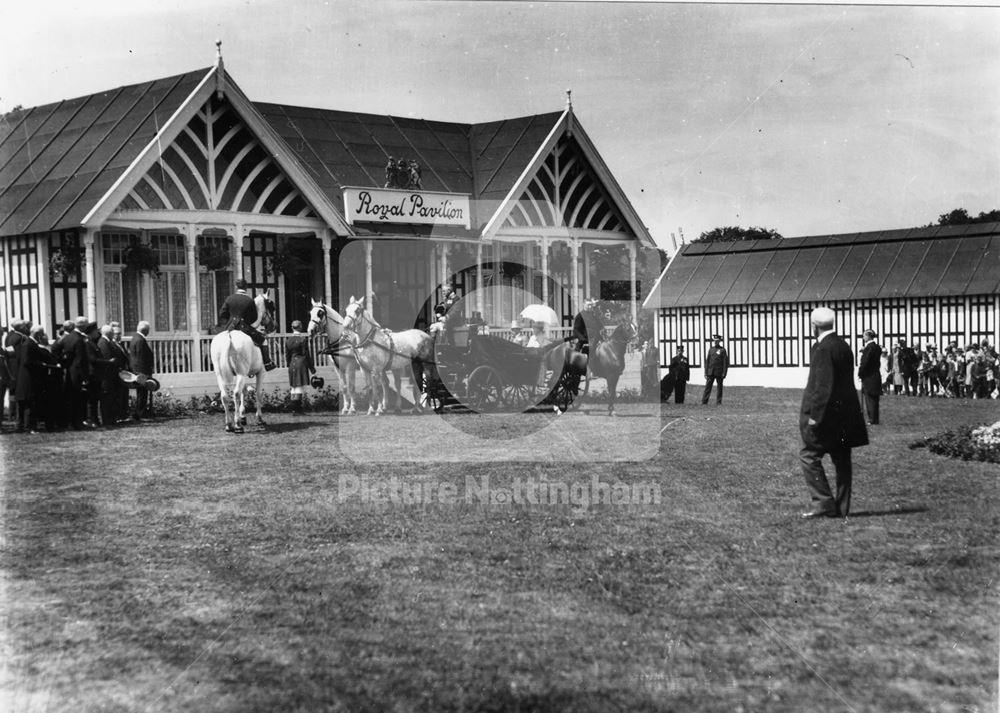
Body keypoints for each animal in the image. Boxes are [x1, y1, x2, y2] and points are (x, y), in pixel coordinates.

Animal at [209, 286, 276, 432]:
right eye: (271, 306)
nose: (273, 326)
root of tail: (229, 335)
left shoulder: (244, 375)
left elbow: (244, 392)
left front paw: (243, 415)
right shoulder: (260, 373)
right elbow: (257, 393)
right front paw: (259, 418)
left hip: (220, 374)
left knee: (225, 396)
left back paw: (229, 424)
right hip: (240, 373)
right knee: (235, 393)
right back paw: (237, 425)